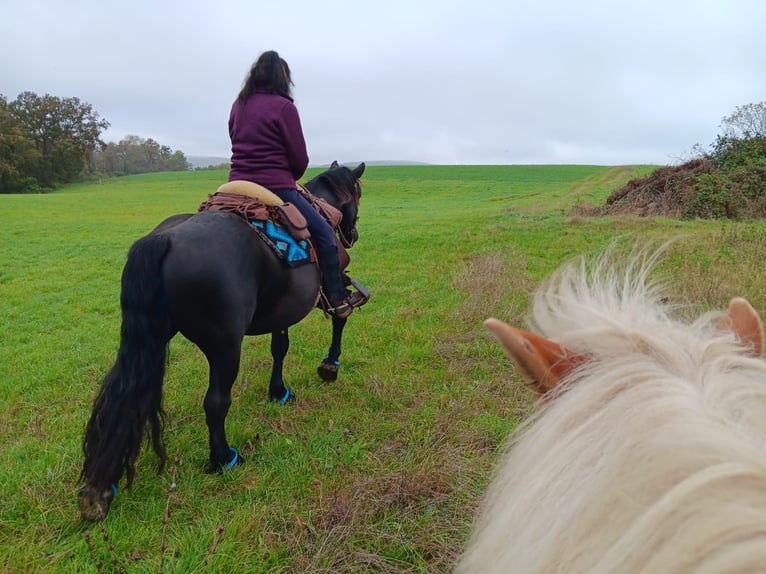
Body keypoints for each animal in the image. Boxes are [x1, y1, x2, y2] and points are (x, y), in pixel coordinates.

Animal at [79, 161, 368, 520]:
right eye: (358, 193)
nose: (352, 235)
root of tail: (164, 239)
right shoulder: (331, 284)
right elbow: (340, 315)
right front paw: (330, 365)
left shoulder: (282, 311)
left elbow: (279, 348)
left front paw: (278, 392)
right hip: (225, 347)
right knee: (215, 402)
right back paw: (223, 457)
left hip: (147, 339)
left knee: (124, 391)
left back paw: (100, 488)